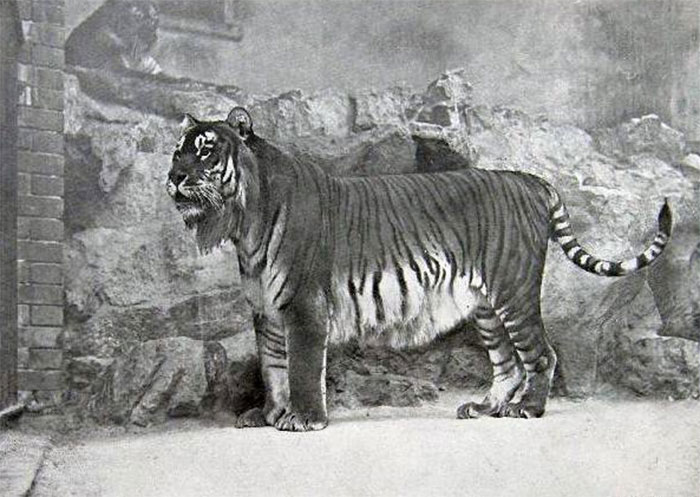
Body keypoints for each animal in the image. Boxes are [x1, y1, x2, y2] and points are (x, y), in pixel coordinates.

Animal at [166, 107, 672, 431]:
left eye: (206, 151)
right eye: (177, 152)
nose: (174, 177)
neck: (245, 222)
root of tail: (530, 180)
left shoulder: (303, 306)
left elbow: (302, 367)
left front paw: (304, 419)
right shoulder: (266, 310)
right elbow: (272, 367)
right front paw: (269, 415)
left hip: (514, 291)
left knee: (541, 354)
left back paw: (527, 409)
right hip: (486, 306)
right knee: (507, 363)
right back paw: (483, 408)